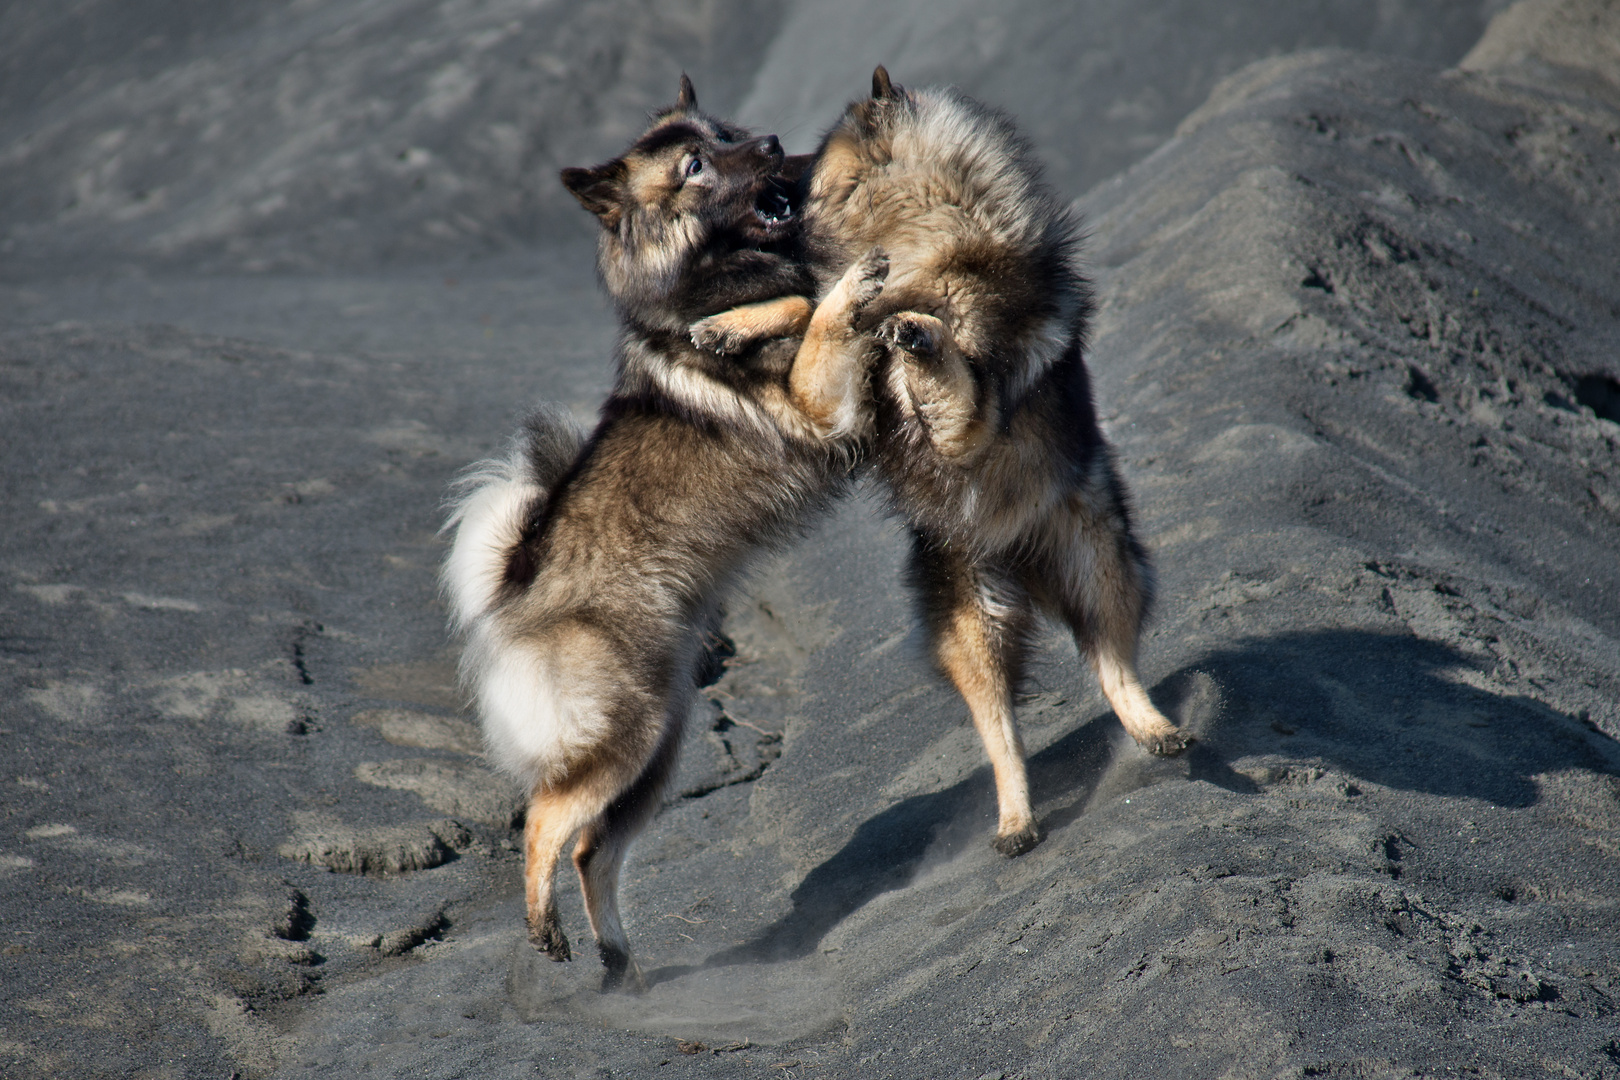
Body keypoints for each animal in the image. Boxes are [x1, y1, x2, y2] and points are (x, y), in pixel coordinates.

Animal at [443, 74, 894, 990]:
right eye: (694, 166)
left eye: (724, 132)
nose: (771, 141)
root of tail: (512, 591)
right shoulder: (814, 402)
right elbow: (811, 304)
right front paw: (741, 325)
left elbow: (815, 297)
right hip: (627, 736)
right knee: (544, 820)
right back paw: (544, 926)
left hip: (661, 747)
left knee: (593, 852)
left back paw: (619, 963)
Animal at [693, 67, 1192, 861]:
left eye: (810, 154)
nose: (772, 155)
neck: (922, 234)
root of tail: (1018, 557)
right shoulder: (836, 387)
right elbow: (811, 303)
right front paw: (726, 324)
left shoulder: (971, 416)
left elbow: (942, 375)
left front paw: (919, 334)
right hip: (972, 625)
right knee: (1002, 733)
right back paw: (1017, 819)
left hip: (1099, 563)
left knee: (1113, 665)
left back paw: (1155, 728)